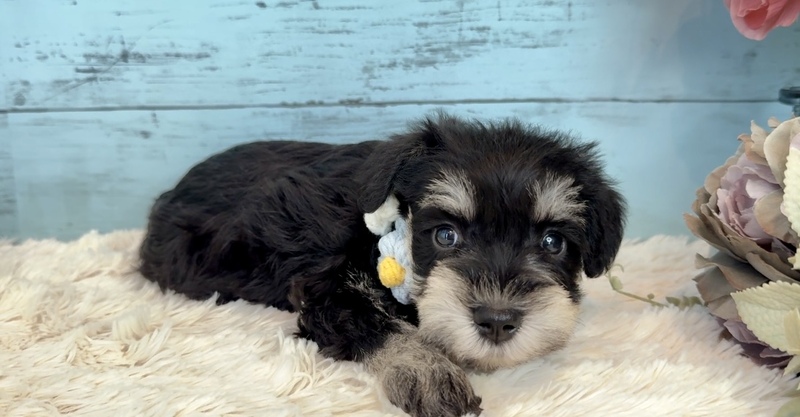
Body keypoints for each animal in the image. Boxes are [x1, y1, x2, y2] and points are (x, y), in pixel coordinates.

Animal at [138, 112, 626, 417]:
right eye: (445, 235)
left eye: (553, 242)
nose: (497, 322)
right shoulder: (323, 290)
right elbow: (375, 322)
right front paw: (427, 371)